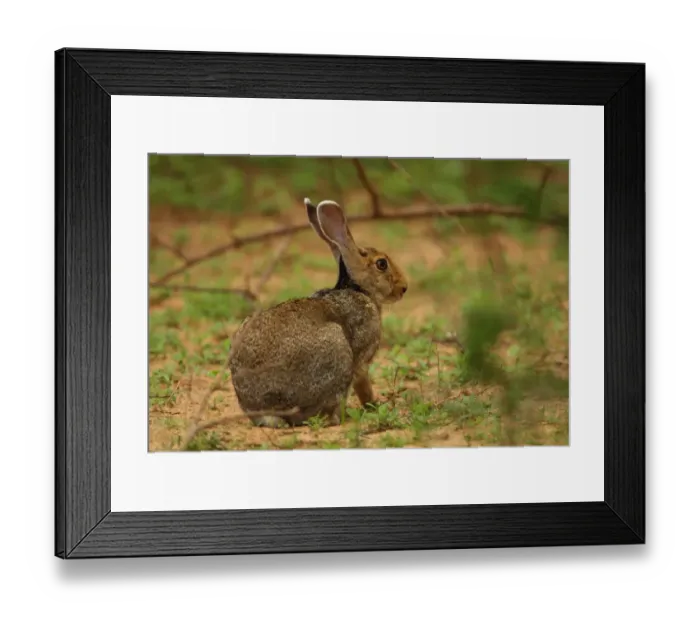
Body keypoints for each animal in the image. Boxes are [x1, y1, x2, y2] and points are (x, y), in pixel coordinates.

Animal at [227, 197, 408, 428]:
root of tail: (265, 411)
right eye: (382, 264)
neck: (358, 288)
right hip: (335, 349)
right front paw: (374, 405)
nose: (404, 287)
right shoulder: (361, 359)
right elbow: (362, 384)